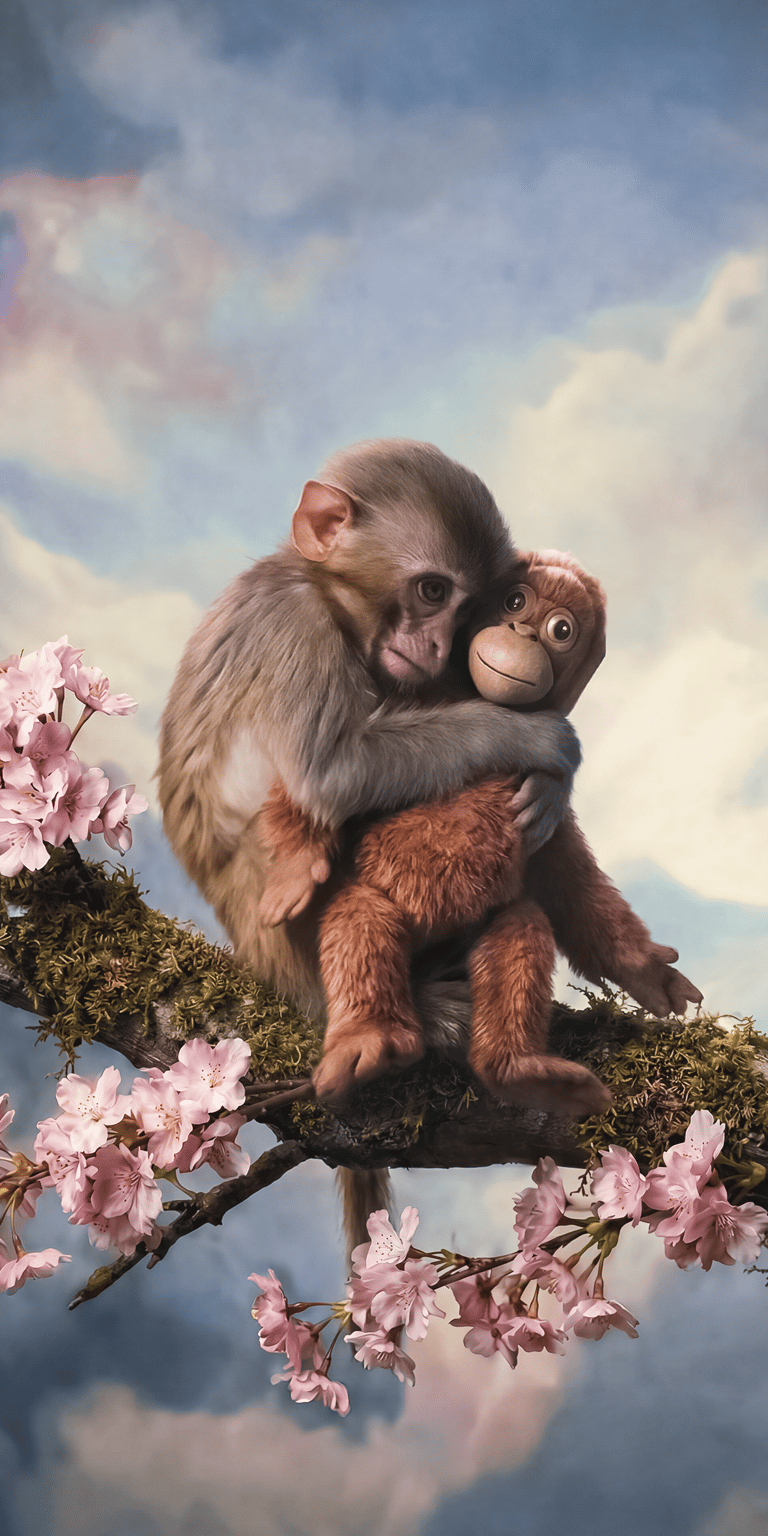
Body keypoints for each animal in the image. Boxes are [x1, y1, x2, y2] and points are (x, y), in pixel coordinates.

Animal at [257, 549, 702, 1115]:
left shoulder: (546, 824)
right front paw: (294, 870)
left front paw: (650, 974)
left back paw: (520, 1071)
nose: (523, 632)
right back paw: (371, 1039)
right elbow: (325, 769)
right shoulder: (399, 694)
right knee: (360, 915)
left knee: (520, 924)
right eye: (515, 602)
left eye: (561, 630)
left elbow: (575, 896)